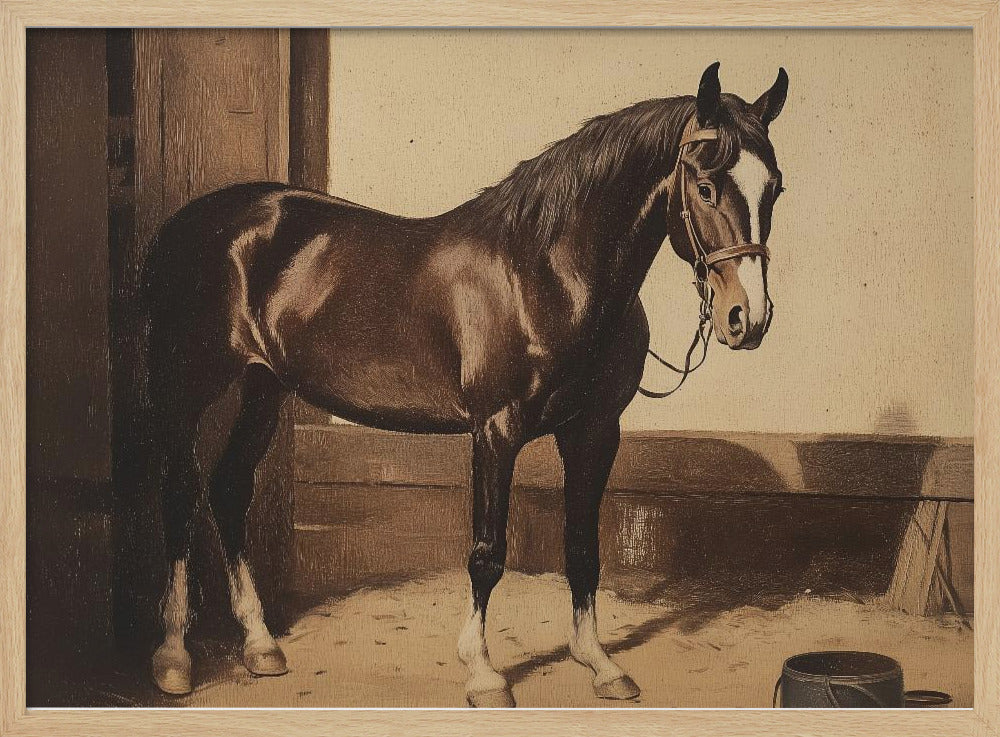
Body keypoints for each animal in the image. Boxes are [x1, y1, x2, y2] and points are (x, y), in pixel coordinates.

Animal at [143, 61, 788, 706]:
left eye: (775, 187)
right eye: (705, 186)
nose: (747, 319)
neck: (545, 273)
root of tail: (188, 225)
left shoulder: (595, 431)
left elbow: (583, 549)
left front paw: (599, 664)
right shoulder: (496, 431)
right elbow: (487, 554)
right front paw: (482, 672)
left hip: (265, 385)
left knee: (229, 488)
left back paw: (260, 647)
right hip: (187, 387)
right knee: (177, 495)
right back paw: (174, 657)